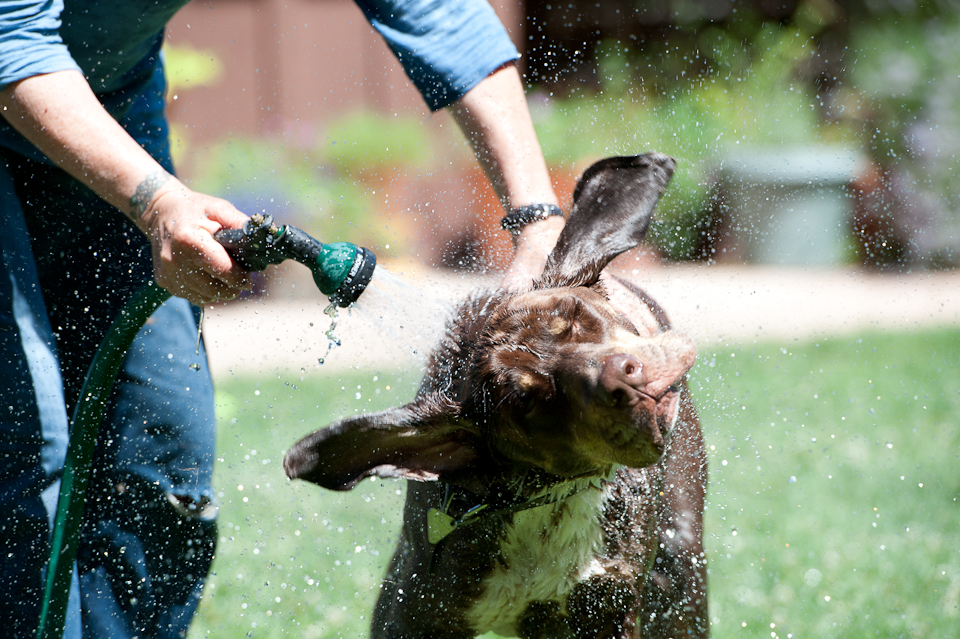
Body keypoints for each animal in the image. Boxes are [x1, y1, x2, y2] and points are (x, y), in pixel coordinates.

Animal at [282, 155, 708, 639]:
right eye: (527, 401)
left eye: (573, 314)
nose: (622, 380)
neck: (544, 505)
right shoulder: (409, 609)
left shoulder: (610, 606)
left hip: (680, 563)